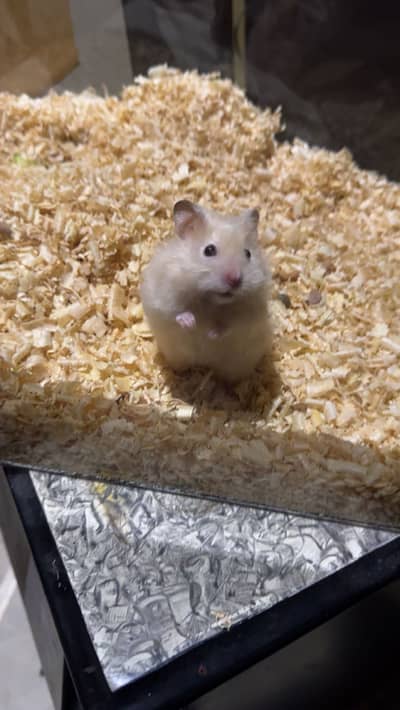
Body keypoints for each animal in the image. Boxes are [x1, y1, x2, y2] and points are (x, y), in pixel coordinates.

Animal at [140, 200, 271, 383]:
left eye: (248, 253)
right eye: (209, 250)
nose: (235, 279)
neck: (210, 300)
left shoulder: (251, 313)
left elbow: (230, 324)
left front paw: (211, 334)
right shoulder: (163, 296)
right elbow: (176, 313)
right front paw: (191, 323)